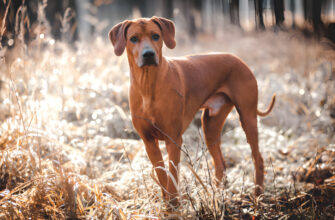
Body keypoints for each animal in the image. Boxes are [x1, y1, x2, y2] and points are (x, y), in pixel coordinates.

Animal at [109, 16, 276, 205]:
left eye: (156, 36)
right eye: (133, 39)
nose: (149, 54)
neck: (148, 85)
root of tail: (238, 58)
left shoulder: (173, 139)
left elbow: (173, 176)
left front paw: (174, 204)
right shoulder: (148, 141)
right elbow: (162, 174)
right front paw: (167, 204)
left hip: (247, 117)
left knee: (258, 158)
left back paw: (258, 195)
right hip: (210, 125)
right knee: (220, 164)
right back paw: (217, 196)